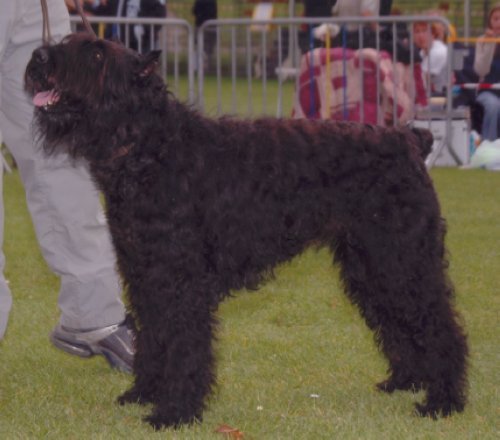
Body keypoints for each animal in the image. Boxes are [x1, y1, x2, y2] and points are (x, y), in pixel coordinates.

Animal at [24, 33, 468, 430]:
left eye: (97, 53)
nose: (40, 57)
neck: (151, 147)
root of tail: (409, 138)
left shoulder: (179, 281)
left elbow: (182, 344)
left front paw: (175, 412)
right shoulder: (145, 275)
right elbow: (153, 337)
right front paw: (144, 393)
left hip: (402, 261)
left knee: (441, 326)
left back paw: (443, 401)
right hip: (372, 267)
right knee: (398, 324)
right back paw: (406, 382)